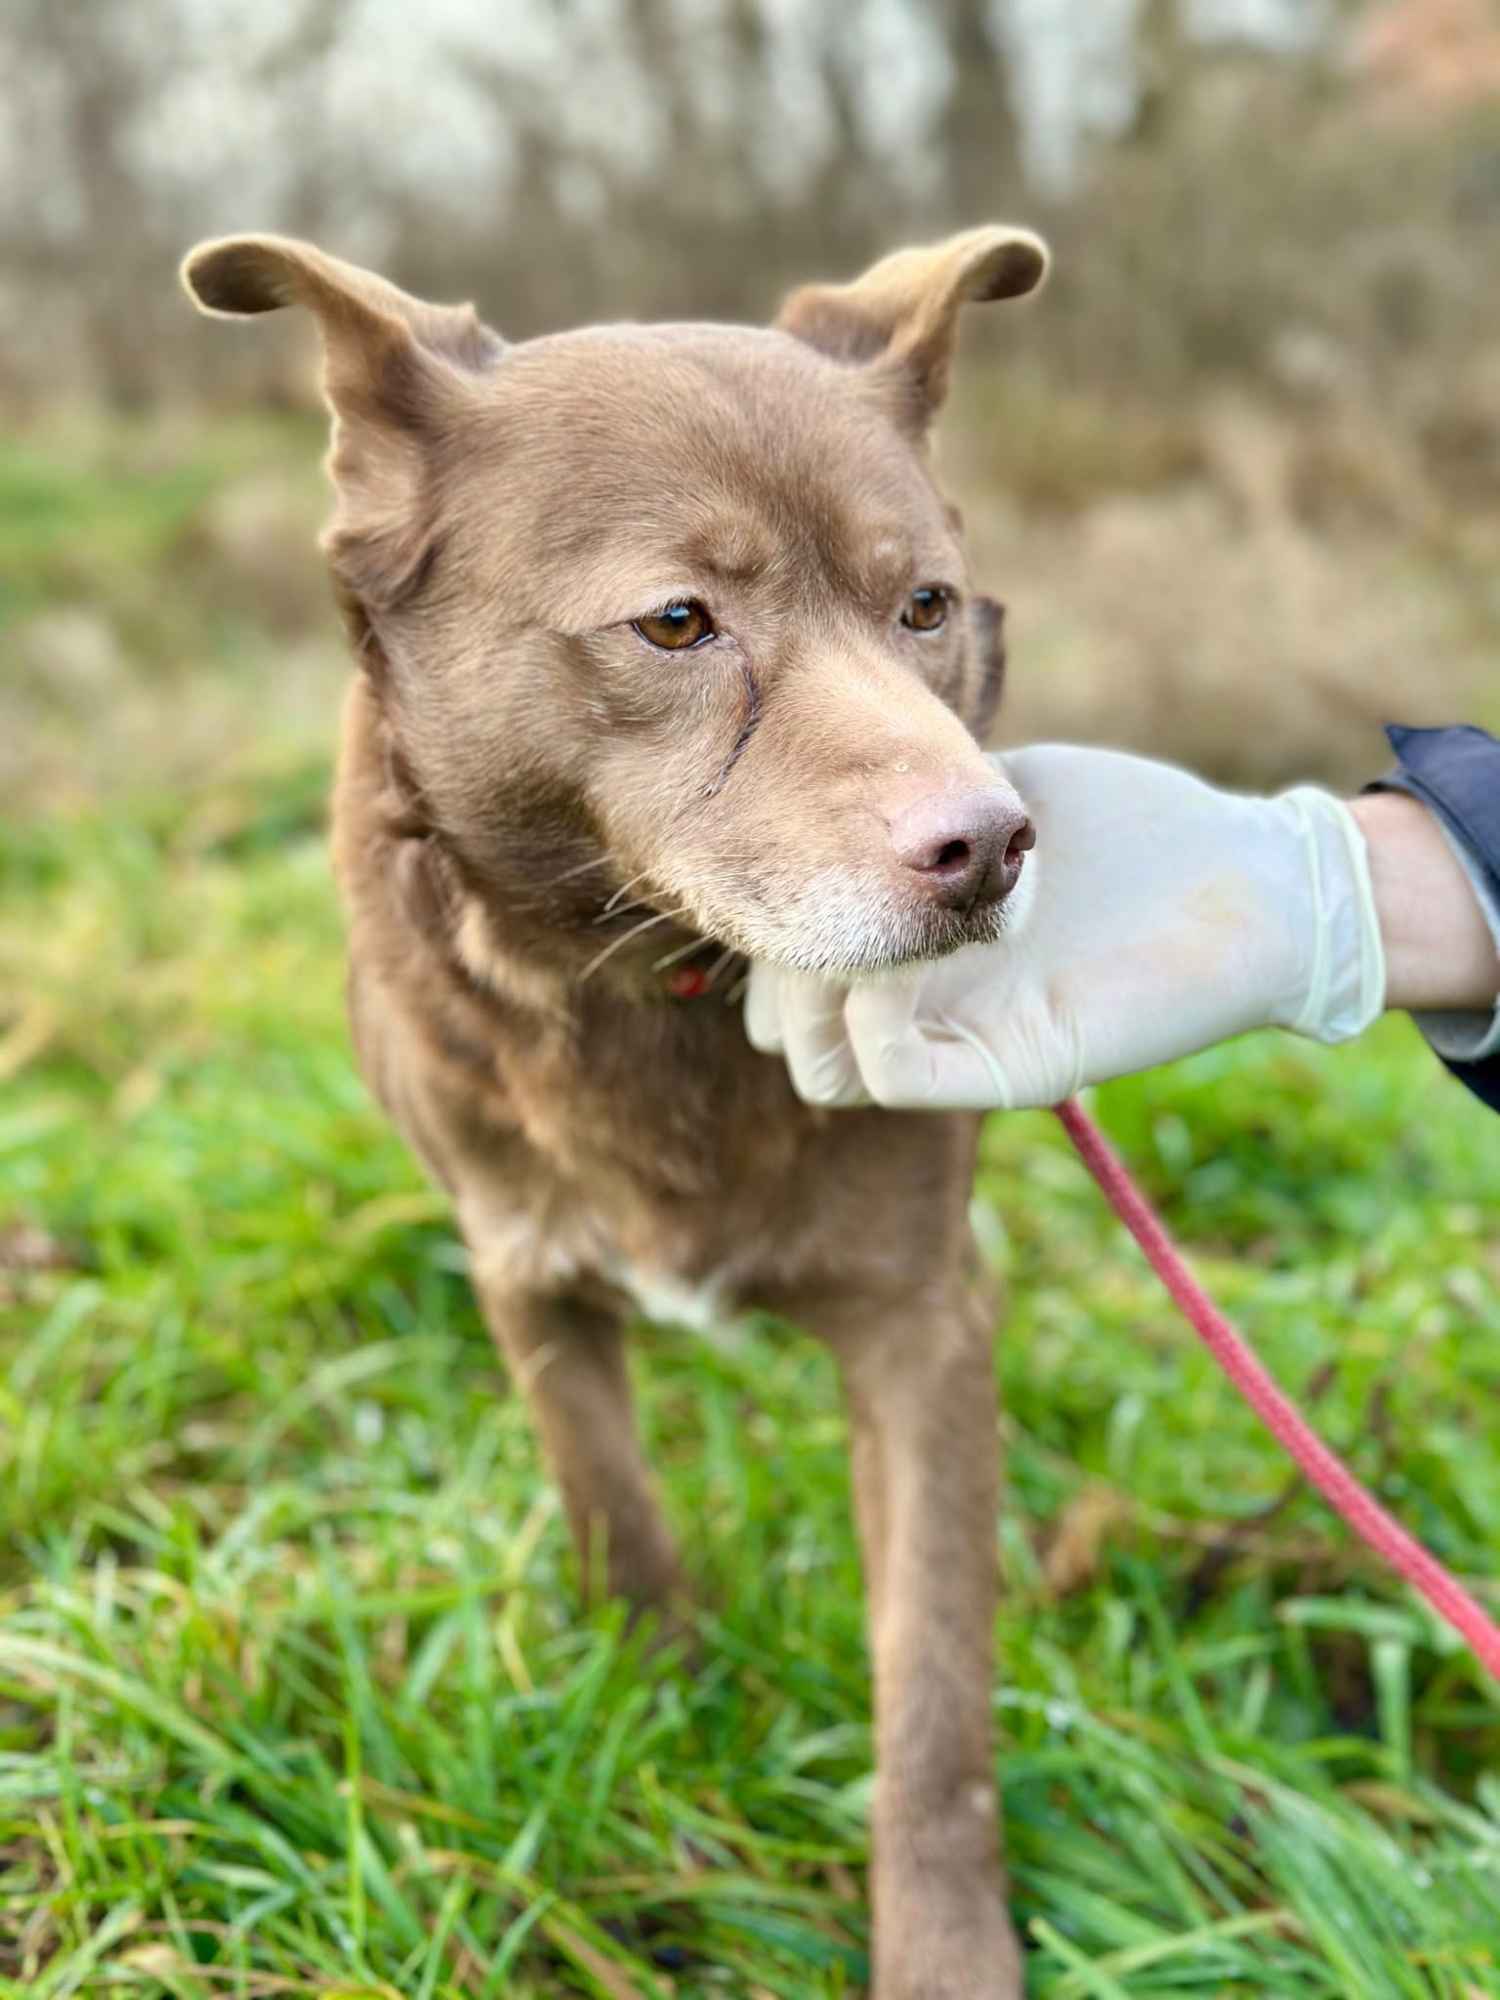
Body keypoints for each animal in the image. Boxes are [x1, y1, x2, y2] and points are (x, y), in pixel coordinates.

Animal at [188, 223, 1048, 2000]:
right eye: (676, 622)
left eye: (924, 606)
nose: (994, 848)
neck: (663, 987)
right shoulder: (525, 1271)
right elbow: (612, 1508)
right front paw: (654, 1718)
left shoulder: (926, 1319)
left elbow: (932, 1692)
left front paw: (942, 1951)